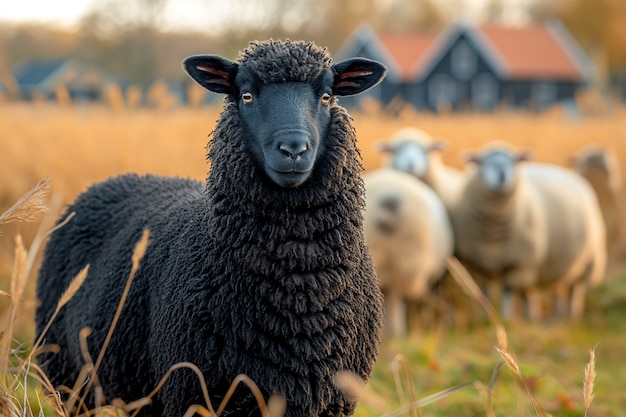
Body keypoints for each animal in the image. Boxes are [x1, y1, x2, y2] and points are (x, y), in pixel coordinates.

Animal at [35, 39, 386, 416]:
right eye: (246, 95)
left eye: (326, 96)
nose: (294, 149)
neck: (296, 293)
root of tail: (113, 180)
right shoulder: (198, 391)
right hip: (67, 377)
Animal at [450, 141, 608, 320]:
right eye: (482, 162)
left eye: (514, 161)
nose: (502, 176)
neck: (492, 230)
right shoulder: (478, 268)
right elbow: (484, 294)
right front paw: (487, 317)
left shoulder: (518, 265)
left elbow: (507, 293)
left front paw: (505, 319)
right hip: (551, 265)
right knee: (545, 291)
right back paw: (541, 315)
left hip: (587, 262)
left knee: (575, 290)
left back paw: (572, 315)